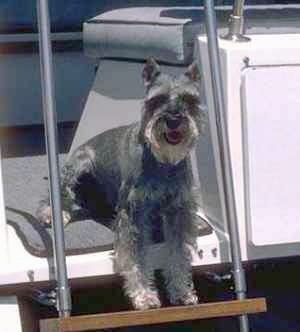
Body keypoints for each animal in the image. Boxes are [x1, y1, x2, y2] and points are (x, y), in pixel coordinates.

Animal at [37, 58, 206, 310]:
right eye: (157, 99)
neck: (163, 162)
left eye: (189, 99)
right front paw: (144, 295)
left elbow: (178, 253)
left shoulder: (179, 211)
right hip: (79, 164)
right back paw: (53, 213)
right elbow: (135, 257)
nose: (174, 120)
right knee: (61, 194)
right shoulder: (133, 213)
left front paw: (181, 291)